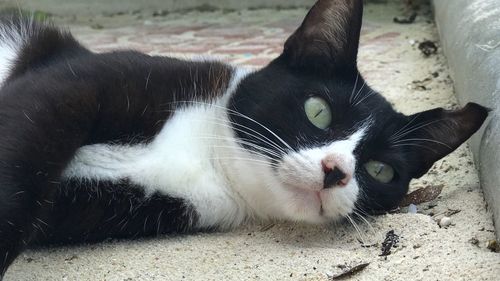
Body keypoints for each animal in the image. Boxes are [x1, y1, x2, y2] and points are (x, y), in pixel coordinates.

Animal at [0, 0, 488, 276]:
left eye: (380, 170)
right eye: (318, 110)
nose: (335, 171)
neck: (208, 154)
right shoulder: (73, 81)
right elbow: (27, 143)